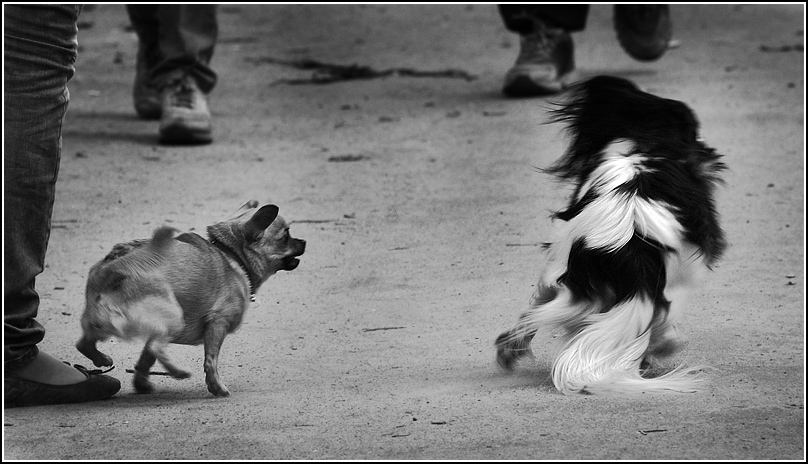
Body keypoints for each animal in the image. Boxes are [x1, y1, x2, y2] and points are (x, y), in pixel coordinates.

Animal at [76, 201, 306, 396]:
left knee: (84, 344)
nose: (303, 241)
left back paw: (102, 359)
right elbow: (211, 360)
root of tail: (115, 267)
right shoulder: (217, 324)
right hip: (175, 318)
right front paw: (216, 387)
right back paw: (179, 372)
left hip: (104, 324)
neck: (231, 255)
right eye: (286, 236)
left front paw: (141, 383)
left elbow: (145, 359)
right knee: (157, 347)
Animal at [496, 76, 728, 396]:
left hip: (571, 283)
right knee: (660, 323)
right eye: (693, 132)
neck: (644, 142)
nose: (707, 150)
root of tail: (631, 249)